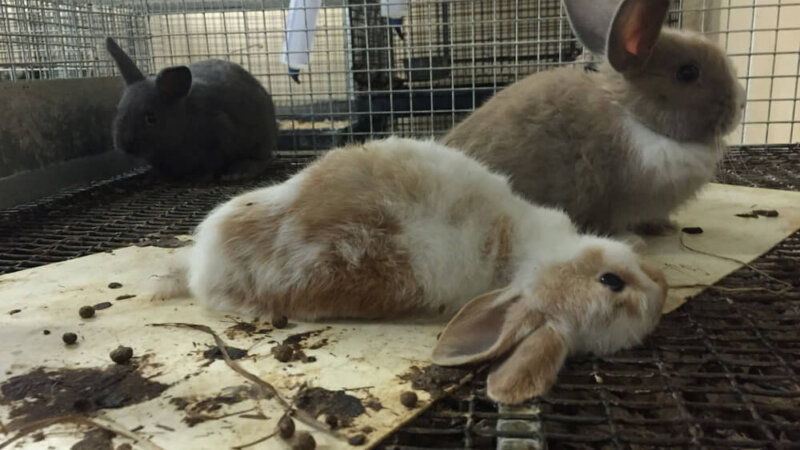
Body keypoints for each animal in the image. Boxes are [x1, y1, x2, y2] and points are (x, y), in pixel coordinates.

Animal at [105, 37, 277, 180]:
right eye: (119, 110)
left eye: (151, 118)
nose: (125, 146)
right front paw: (154, 176)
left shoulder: (219, 136)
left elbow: (211, 165)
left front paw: (199, 176)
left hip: (260, 141)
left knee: (263, 159)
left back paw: (241, 171)